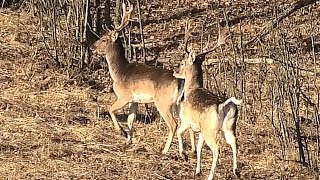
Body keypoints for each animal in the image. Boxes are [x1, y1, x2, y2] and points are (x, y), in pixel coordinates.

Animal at [91, 1, 185, 154]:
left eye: (104, 39)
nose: (92, 46)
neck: (118, 72)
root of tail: (179, 81)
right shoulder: (134, 100)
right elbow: (131, 119)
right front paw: (128, 140)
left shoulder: (125, 95)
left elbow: (111, 109)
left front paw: (121, 132)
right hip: (177, 104)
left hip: (163, 102)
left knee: (173, 124)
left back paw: (164, 151)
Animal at [174, 22, 241, 179]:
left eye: (182, 63)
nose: (175, 71)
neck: (192, 90)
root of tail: (224, 105)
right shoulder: (200, 130)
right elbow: (198, 147)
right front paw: (197, 170)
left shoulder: (187, 121)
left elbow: (178, 132)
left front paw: (184, 155)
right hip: (229, 127)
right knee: (234, 142)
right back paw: (236, 171)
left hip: (211, 130)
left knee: (217, 150)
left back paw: (210, 176)